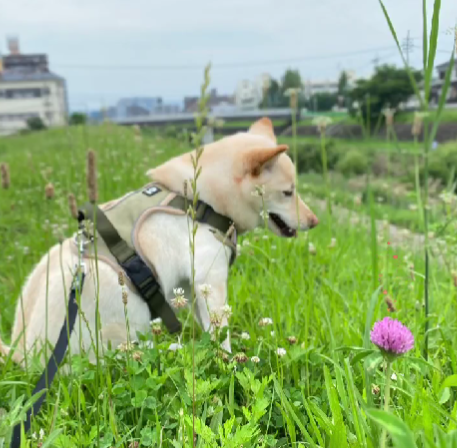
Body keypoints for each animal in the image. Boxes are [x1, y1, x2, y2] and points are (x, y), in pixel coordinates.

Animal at [0, 118, 318, 364]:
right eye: (288, 192)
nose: (315, 221)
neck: (200, 200)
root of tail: (21, 355)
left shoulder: (192, 286)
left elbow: (207, 328)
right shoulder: (211, 281)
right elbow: (220, 333)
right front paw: (228, 363)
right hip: (125, 310)